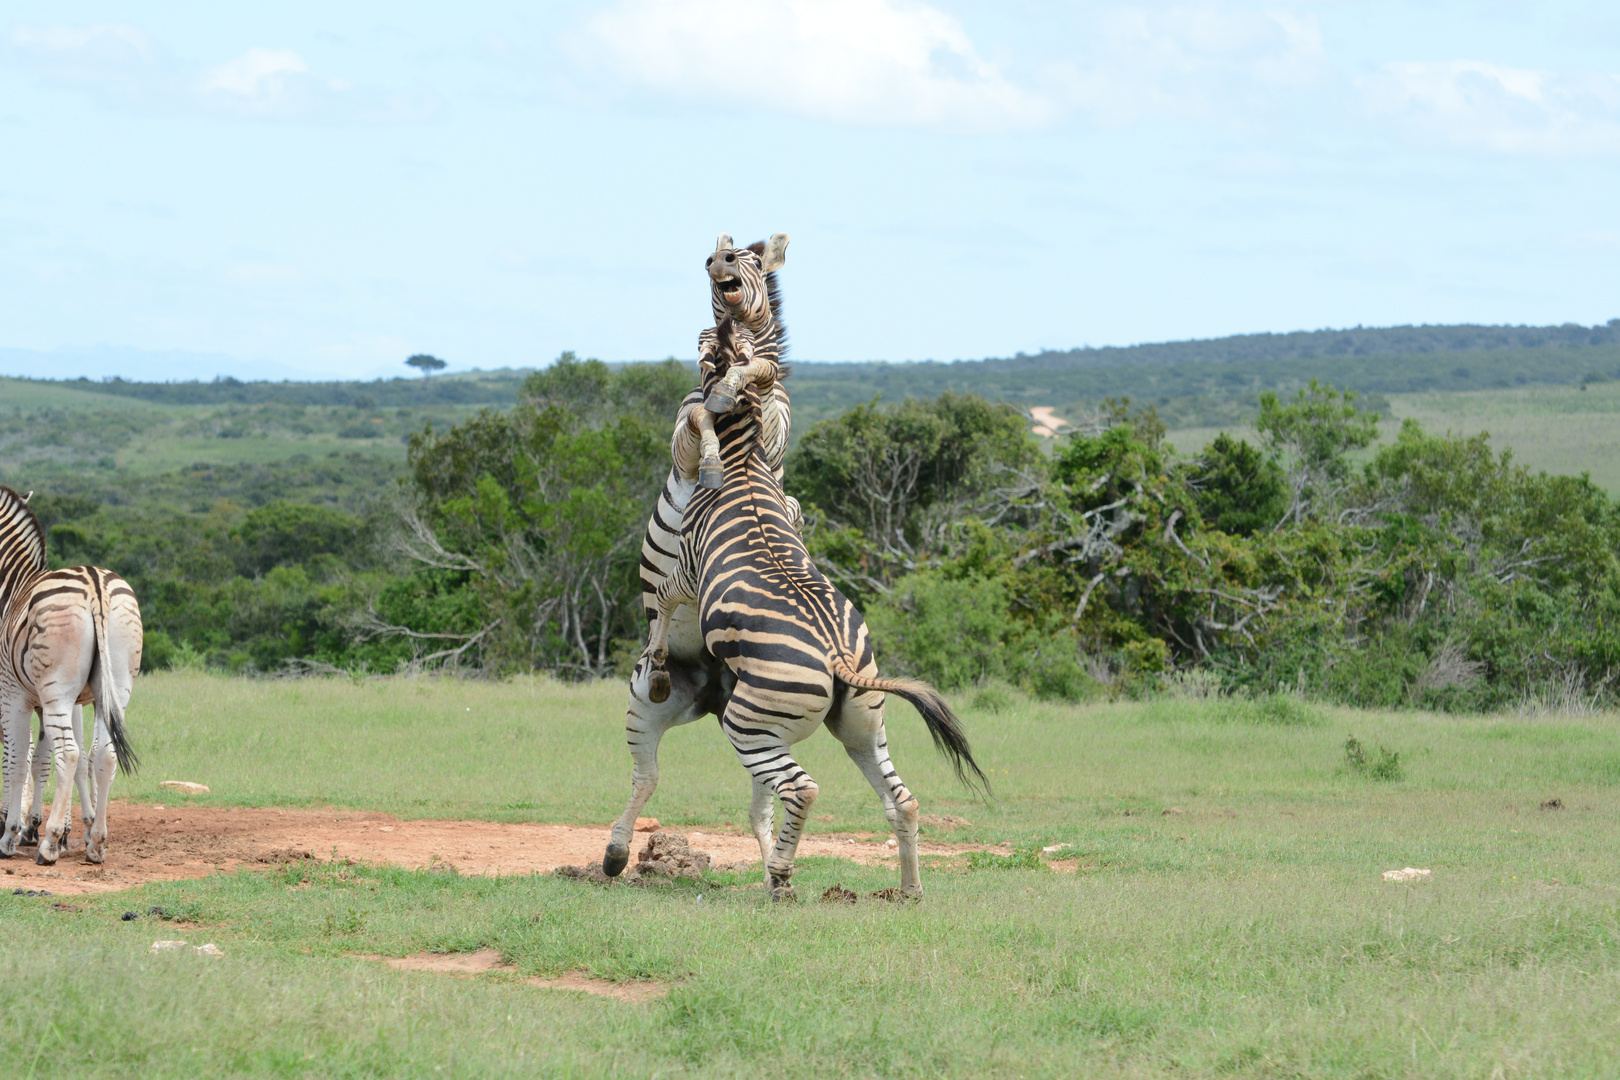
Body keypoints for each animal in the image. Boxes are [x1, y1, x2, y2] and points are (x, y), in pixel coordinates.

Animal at [0, 485, 142, 867]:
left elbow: (17, 761)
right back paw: (97, 843)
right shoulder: (57, 701)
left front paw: (12, 833)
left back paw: (49, 845)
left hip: (58, 690)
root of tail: (95, 583)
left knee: (70, 753)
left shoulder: (15, 695)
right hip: (115, 686)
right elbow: (38, 760)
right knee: (103, 754)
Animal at [612, 320, 984, 906]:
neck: (744, 464)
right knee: (899, 800)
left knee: (792, 788)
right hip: (858, 726)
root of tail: (840, 660)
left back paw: (778, 876)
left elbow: (666, 598)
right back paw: (906, 889)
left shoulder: (688, 570)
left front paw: (656, 650)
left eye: (704, 352)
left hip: (748, 724)